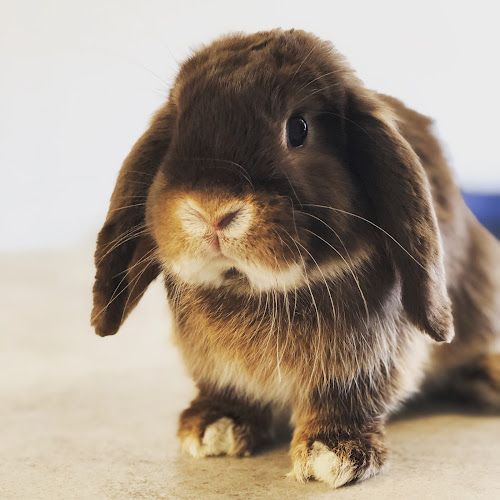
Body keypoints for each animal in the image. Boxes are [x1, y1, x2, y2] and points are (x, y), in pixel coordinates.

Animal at [90, 28, 500, 488]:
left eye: (299, 128)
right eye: (178, 125)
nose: (211, 211)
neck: (255, 289)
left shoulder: (362, 360)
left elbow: (347, 397)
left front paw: (332, 453)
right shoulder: (217, 365)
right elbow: (228, 389)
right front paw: (214, 427)